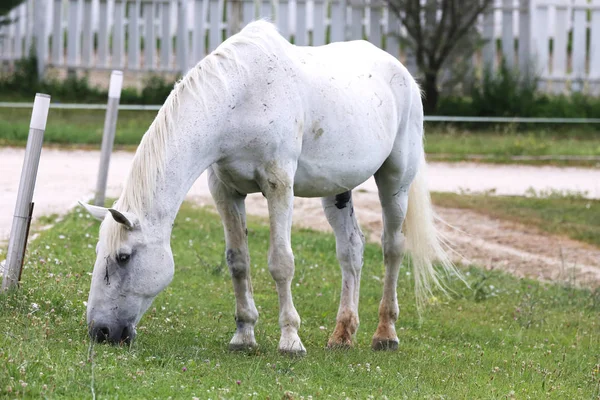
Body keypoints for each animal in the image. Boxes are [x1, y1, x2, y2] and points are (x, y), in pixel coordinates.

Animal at [81, 20, 460, 354]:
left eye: (124, 257)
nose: (100, 331)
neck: (240, 97)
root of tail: (404, 74)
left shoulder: (278, 185)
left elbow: (281, 262)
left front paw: (290, 340)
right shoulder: (226, 191)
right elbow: (238, 261)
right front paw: (243, 336)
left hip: (396, 181)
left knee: (392, 248)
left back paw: (385, 334)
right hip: (337, 191)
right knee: (351, 250)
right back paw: (342, 335)